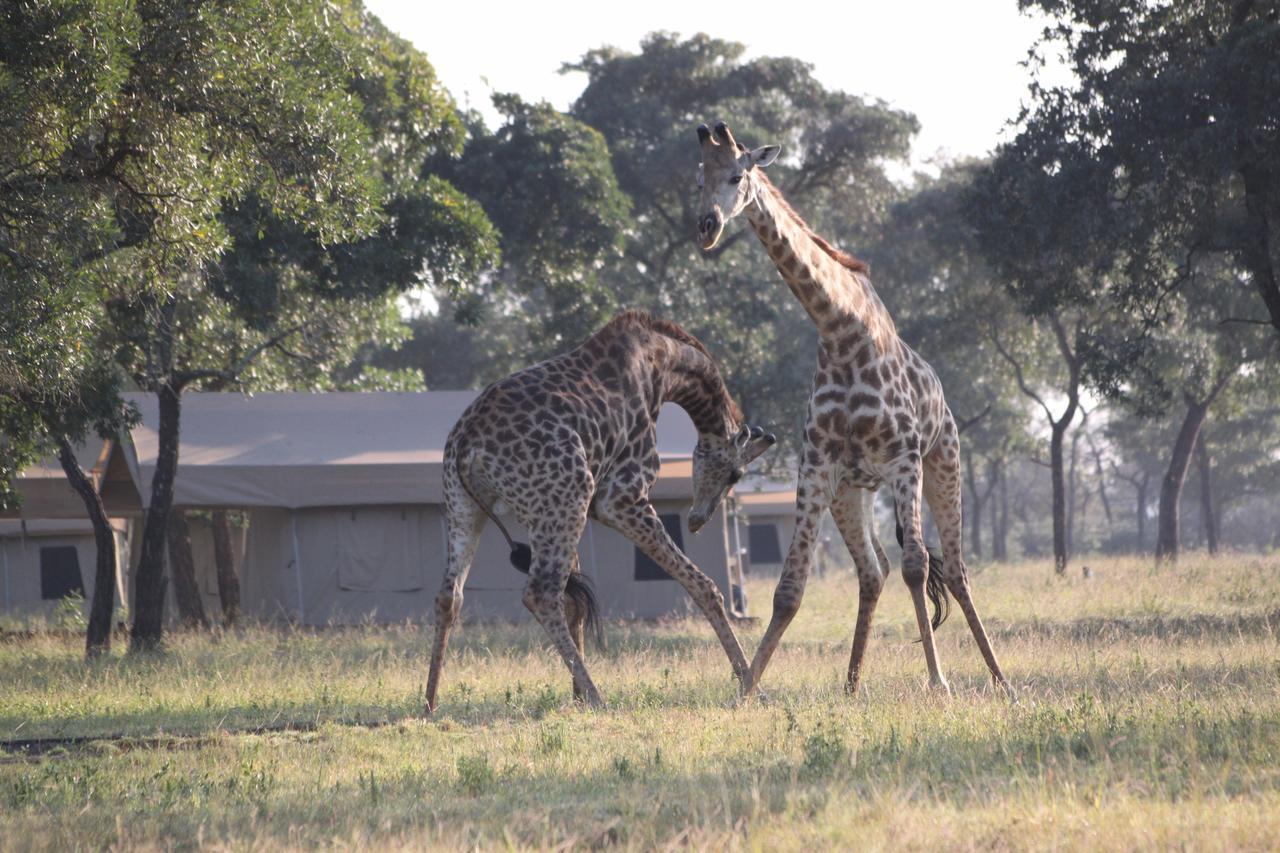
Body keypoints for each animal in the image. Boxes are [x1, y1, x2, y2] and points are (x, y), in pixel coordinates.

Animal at [424, 308, 773, 706]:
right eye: (735, 473)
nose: (698, 520)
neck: (663, 367)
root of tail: (467, 445)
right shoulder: (620, 498)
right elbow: (704, 586)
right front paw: (752, 686)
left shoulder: (577, 508)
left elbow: (575, 602)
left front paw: (574, 696)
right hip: (565, 497)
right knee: (540, 593)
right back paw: (598, 697)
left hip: (470, 508)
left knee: (450, 595)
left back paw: (430, 702)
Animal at [696, 119, 1013, 696]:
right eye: (697, 180)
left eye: (736, 175)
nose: (706, 226)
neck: (838, 328)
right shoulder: (817, 465)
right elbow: (789, 588)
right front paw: (747, 687)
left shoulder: (904, 460)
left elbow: (917, 566)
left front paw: (939, 682)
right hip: (852, 490)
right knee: (873, 570)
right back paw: (850, 683)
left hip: (943, 463)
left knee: (953, 570)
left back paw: (1000, 680)